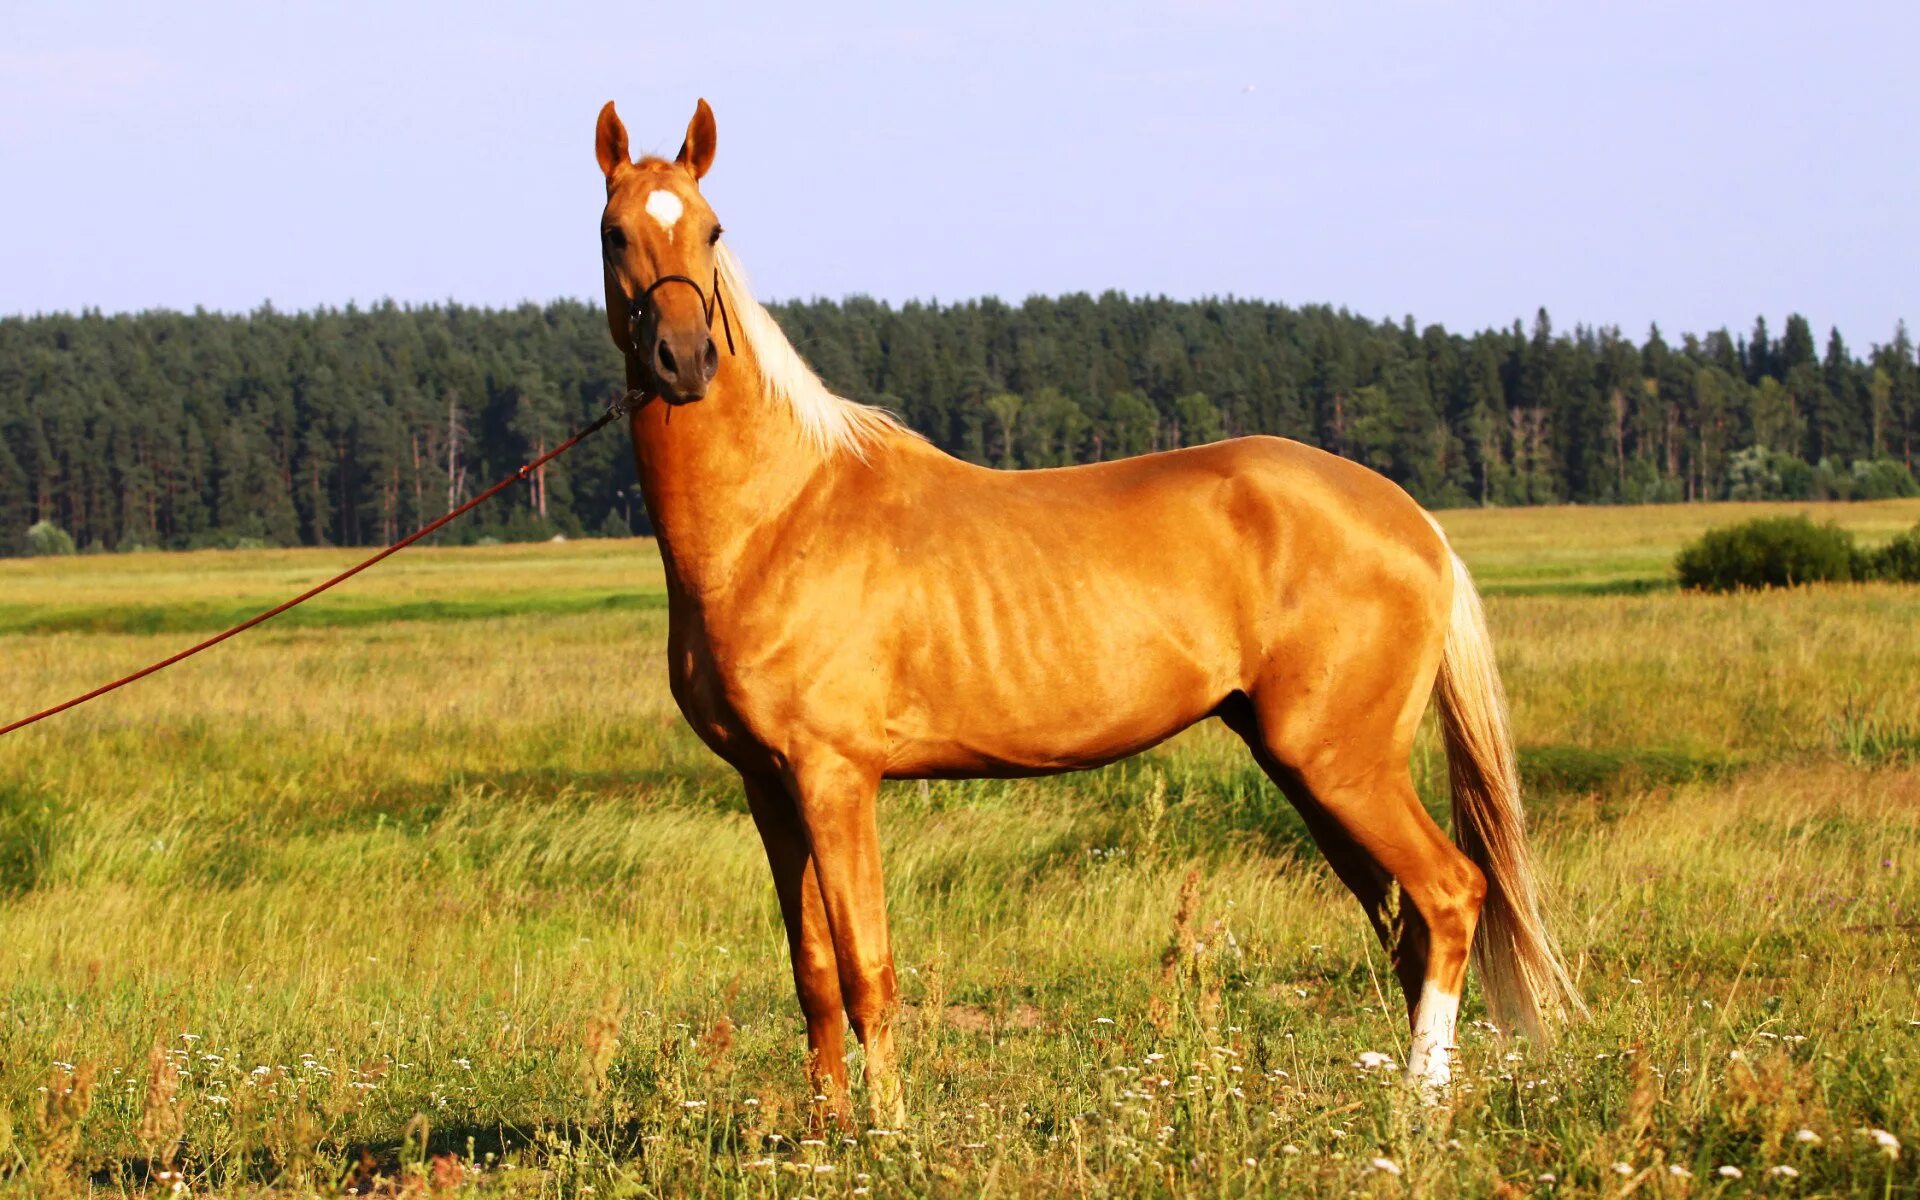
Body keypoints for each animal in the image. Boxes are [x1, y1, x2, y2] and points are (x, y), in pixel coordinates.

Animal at [591, 100, 1582, 1121]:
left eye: (713, 231)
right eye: (614, 231)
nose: (683, 361)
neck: (782, 513)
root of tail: (1414, 519)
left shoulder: (836, 779)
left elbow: (869, 970)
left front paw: (888, 1134)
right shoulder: (769, 786)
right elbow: (815, 976)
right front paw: (827, 1133)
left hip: (1343, 766)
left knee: (1451, 893)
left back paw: (1418, 1109)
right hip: (1312, 772)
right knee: (1410, 922)